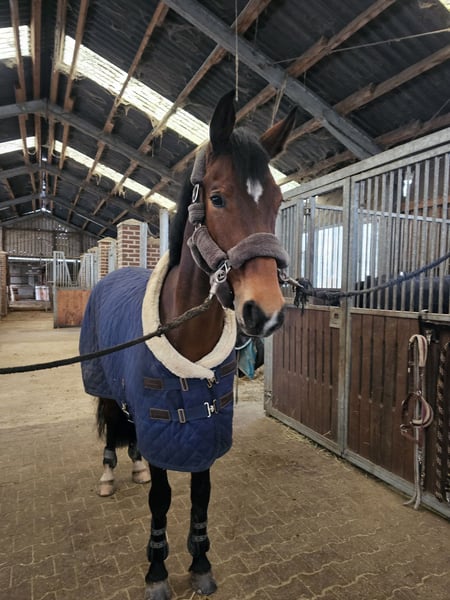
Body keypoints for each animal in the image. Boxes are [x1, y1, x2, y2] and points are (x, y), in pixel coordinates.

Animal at [79, 89, 296, 600]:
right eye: (216, 197)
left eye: (278, 200)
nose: (266, 310)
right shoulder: (165, 420)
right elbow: (162, 497)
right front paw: (157, 571)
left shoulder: (203, 431)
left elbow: (200, 496)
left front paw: (200, 563)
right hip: (103, 384)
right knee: (111, 428)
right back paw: (109, 474)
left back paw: (135, 465)